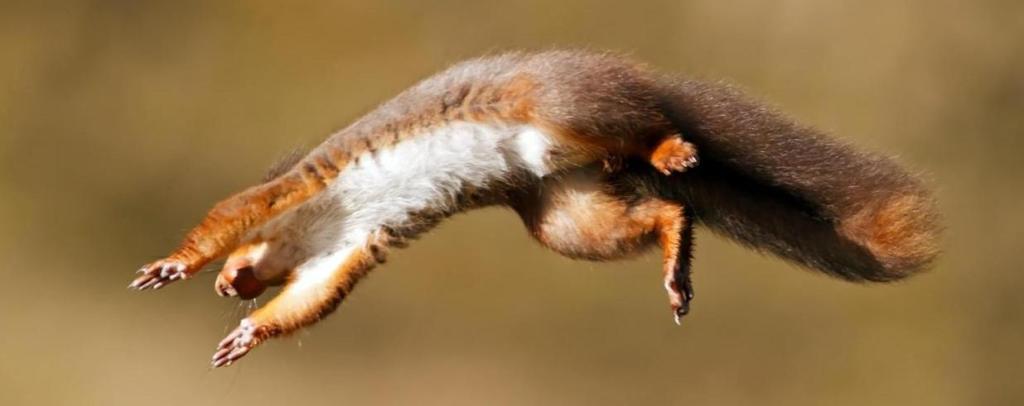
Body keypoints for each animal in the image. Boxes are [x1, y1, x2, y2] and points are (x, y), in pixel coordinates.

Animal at [128, 50, 941, 368]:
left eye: (241, 267)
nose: (227, 288)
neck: (306, 231)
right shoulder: (344, 250)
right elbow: (313, 300)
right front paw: (247, 335)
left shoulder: (286, 194)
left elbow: (225, 218)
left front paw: (172, 266)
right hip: (567, 215)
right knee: (662, 216)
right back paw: (676, 261)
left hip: (573, 112)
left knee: (648, 129)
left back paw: (673, 151)